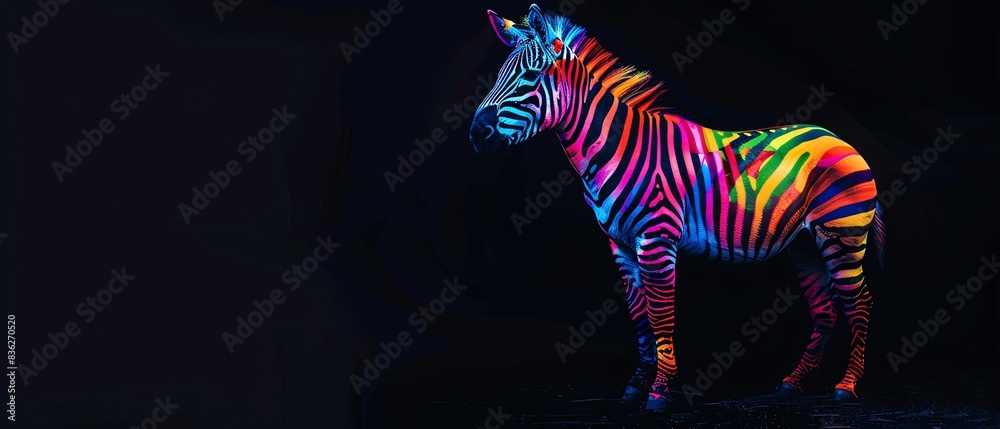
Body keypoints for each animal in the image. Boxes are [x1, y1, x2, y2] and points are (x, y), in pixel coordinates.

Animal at [469, 5, 885, 410]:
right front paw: (636, 385)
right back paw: (792, 383)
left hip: (842, 235)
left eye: (531, 76)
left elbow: (661, 314)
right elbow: (640, 318)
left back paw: (846, 387)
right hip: (803, 243)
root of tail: (836, 137)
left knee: (860, 303)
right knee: (826, 310)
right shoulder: (620, 245)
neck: (614, 150)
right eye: (498, 76)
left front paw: (659, 391)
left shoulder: (656, 238)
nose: (476, 134)